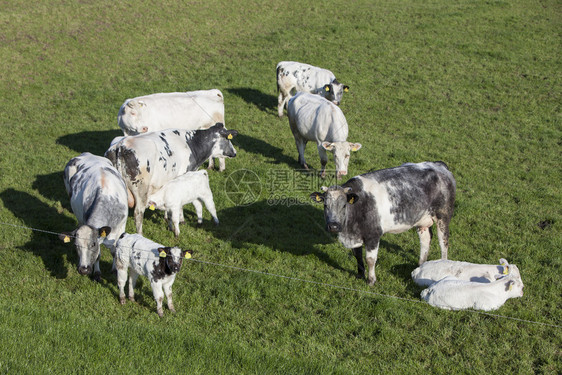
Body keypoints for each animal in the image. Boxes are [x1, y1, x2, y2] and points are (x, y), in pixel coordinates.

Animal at [59, 153, 129, 282]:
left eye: (93, 244)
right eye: (76, 245)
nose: (83, 269)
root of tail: (87, 154)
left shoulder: (120, 228)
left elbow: (115, 251)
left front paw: (114, 270)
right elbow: (98, 255)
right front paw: (97, 273)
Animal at [104, 123, 236, 235]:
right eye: (228, 139)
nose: (234, 153)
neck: (191, 143)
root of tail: (121, 146)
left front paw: (167, 217)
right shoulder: (183, 175)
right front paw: (181, 220)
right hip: (141, 190)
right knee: (138, 213)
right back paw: (140, 234)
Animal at [310, 161, 456, 284]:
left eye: (344, 205)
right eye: (325, 205)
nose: (333, 226)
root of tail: (438, 164)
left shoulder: (373, 235)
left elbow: (370, 259)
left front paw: (371, 280)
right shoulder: (355, 236)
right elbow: (358, 256)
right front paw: (360, 275)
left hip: (443, 216)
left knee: (443, 243)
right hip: (422, 220)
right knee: (425, 239)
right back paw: (420, 265)